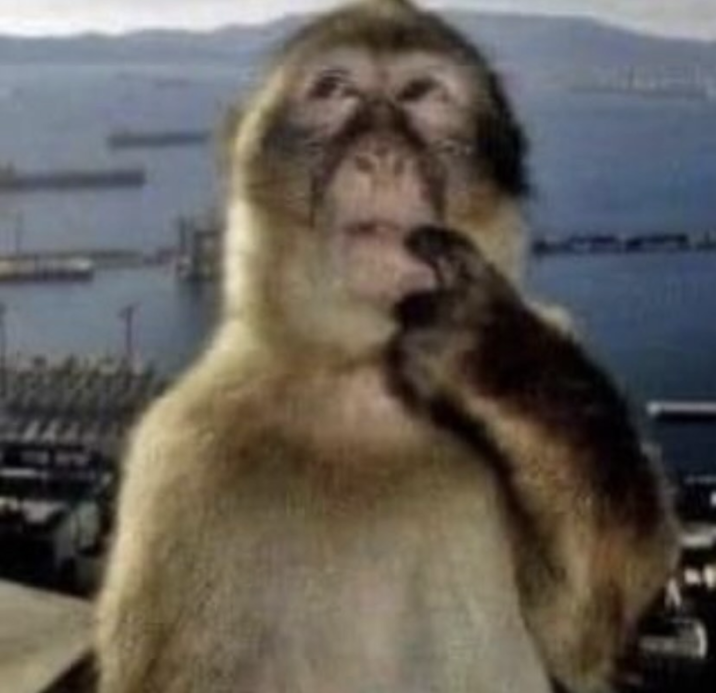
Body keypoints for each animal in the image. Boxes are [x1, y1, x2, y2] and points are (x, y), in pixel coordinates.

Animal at [96, 1, 678, 692]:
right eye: (334, 89)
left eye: (423, 93)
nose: (380, 155)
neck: (363, 377)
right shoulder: (179, 457)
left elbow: (582, 632)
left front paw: (496, 356)